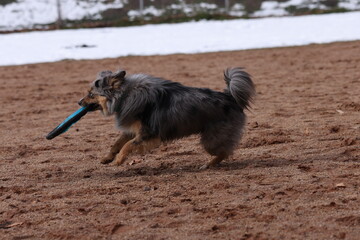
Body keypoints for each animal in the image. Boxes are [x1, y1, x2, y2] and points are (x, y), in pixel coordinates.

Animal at [78, 67, 256, 169]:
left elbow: (128, 145)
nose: (78, 102)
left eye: (91, 94)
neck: (126, 95)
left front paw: (119, 160)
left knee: (225, 152)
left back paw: (208, 165)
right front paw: (107, 158)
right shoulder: (134, 130)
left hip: (211, 140)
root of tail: (230, 97)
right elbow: (116, 144)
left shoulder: (148, 133)